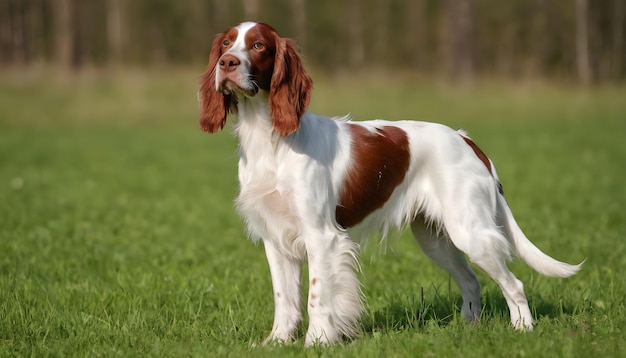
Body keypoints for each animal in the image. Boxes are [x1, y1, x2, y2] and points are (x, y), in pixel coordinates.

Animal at [197, 21, 584, 346]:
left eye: (258, 45)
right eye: (227, 43)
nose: (227, 63)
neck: (271, 139)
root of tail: (465, 138)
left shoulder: (321, 236)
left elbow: (317, 296)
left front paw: (317, 343)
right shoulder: (276, 240)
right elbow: (285, 300)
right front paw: (277, 342)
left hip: (469, 231)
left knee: (514, 283)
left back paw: (523, 329)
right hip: (435, 239)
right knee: (471, 280)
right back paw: (469, 328)